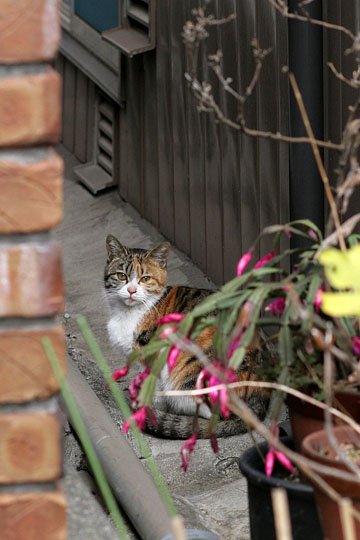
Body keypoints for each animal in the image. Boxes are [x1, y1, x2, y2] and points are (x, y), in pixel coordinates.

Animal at [103, 234, 268, 436]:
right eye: (122, 276)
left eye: (145, 278)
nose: (131, 291)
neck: (128, 312)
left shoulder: (155, 353)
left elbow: (154, 382)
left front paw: (150, 403)